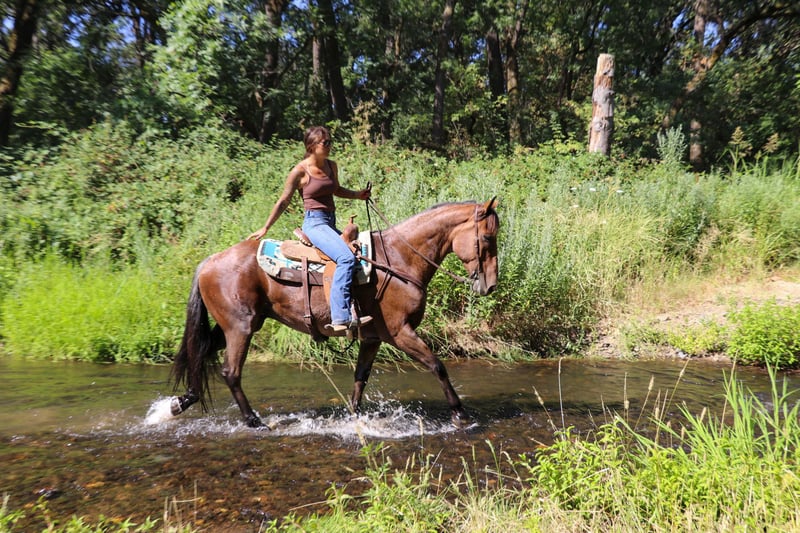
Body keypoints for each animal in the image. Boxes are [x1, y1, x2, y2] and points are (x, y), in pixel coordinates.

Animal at [170, 198, 499, 428]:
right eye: (487, 238)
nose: (491, 285)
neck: (400, 259)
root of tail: (211, 260)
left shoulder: (372, 338)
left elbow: (360, 378)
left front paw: (353, 416)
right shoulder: (400, 332)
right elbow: (437, 366)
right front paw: (459, 413)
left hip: (235, 325)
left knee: (201, 353)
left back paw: (181, 402)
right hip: (241, 328)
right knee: (230, 372)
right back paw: (253, 421)